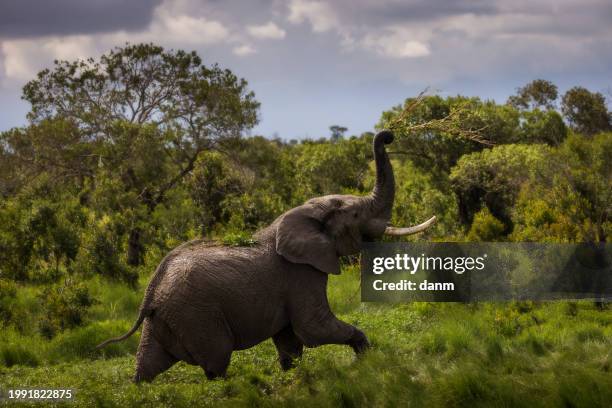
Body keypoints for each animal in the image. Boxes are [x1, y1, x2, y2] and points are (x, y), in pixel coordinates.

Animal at [97, 130, 436, 382]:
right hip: (198, 316)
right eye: (355, 214)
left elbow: (289, 341)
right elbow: (313, 328)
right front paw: (366, 358)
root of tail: (151, 292)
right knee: (216, 362)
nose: (389, 135)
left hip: (165, 319)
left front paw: (293, 378)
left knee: (148, 364)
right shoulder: (300, 275)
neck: (304, 214)